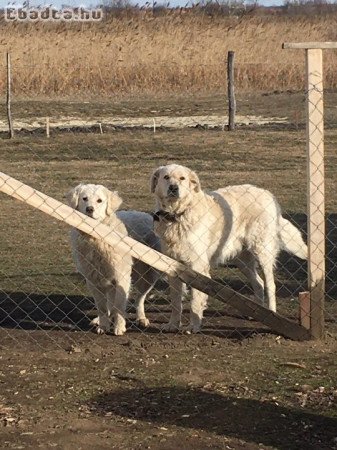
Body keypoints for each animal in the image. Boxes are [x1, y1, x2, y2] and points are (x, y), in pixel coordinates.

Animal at [67, 183, 160, 334]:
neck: (96, 238)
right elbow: (102, 307)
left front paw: (119, 327)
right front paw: (103, 326)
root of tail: (145, 215)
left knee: (139, 299)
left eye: (99, 201)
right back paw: (98, 321)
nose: (89, 209)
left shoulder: (121, 277)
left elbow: (119, 305)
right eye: (84, 199)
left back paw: (141, 318)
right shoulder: (93, 280)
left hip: (147, 276)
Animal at [151, 163, 306, 332]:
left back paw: (272, 314)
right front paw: (172, 324)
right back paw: (258, 313)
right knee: (258, 283)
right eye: (166, 177)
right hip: (242, 261)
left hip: (262, 251)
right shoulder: (172, 266)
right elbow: (175, 301)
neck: (178, 215)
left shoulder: (197, 266)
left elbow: (195, 301)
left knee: (270, 284)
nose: (173, 187)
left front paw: (194, 326)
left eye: (182, 178)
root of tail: (267, 194)